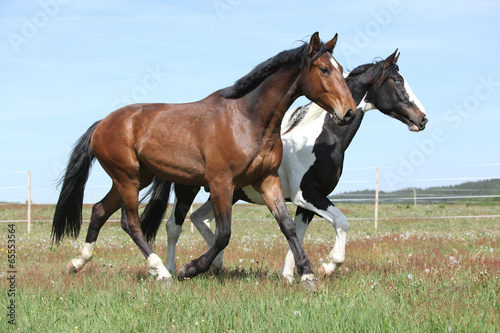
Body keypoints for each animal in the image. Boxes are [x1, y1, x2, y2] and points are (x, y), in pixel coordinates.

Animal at [51, 31, 356, 288]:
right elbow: (223, 234)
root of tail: (102, 124)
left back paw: (77, 262)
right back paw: (162, 272)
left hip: (135, 178)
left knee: (99, 211)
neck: (247, 120)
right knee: (130, 223)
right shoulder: (222, 182)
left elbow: (288, 226)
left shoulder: (267, 180)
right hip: (128, 179)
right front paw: (190, 269)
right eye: (324, 69)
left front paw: (308, 275)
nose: (349, 112)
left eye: (341, 69)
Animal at [141, 50, 426, 280]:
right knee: (174, 226)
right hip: (188, 189)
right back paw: (171, 271)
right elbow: (341, 222)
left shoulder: (306, 202)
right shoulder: (307, 195)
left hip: (227, 193)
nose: (422, 119)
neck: (320, 139)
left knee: (199, 219)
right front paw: (327, 267)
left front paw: (291, 275)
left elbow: (296, 232)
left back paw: (214, 264)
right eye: (398, 81)